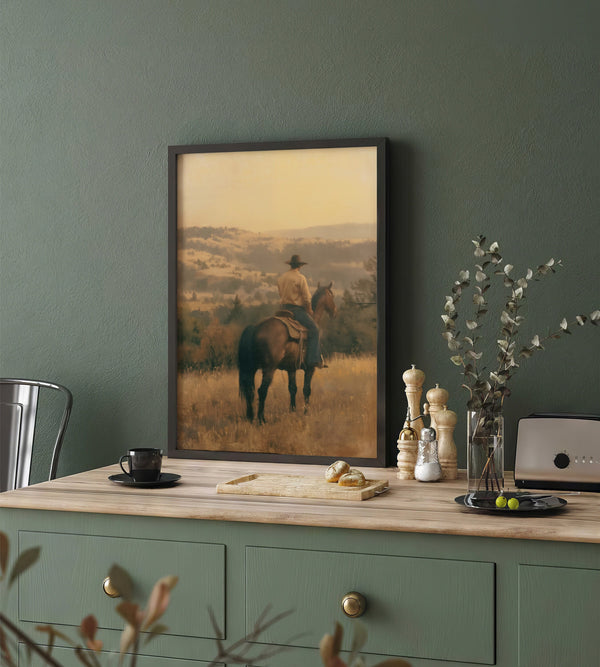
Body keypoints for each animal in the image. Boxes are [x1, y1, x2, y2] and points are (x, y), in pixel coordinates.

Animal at [238, 283, 337, 424]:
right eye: (331, 295)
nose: (335, 312)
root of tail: (255, 328)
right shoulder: (310, 368)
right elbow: (306, 389)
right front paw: (306, 412)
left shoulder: (291, 369)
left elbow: (292, 388)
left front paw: (293, 411)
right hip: (268, 369)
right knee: (262, 390)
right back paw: (261, 419)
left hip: (251, 369)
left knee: (249, 391)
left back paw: (250, 417)